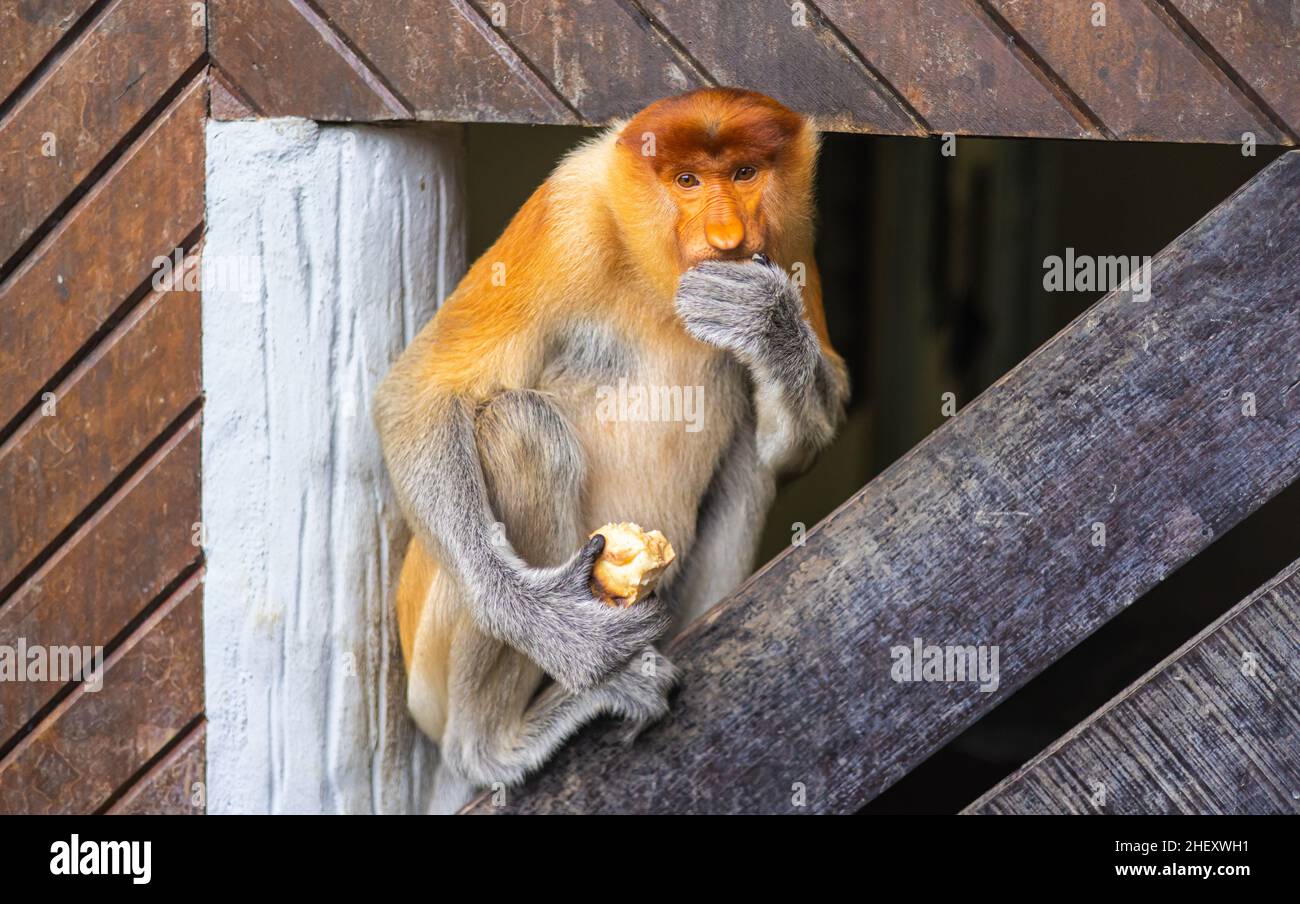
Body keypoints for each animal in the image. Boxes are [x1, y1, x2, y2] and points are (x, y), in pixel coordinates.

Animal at [371, 88, 847, 801]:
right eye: (686, 180)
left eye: (744, 174)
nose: (727, 240)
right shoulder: (566, 218)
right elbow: (423, 392)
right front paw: (546, 622)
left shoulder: (792, 236)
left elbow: (794, 445)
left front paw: (765, 320)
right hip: (425, 668)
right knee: (522, 429)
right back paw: (493, 745)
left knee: (750, 459)